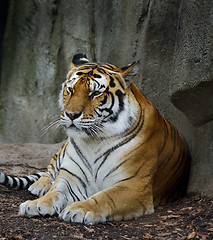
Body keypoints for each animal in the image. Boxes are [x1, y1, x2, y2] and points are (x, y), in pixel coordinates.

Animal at [0, 53, 190, 225]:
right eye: (71, 90)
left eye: (96, 93)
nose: (71, 114)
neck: (94, 140)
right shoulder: (70, 177)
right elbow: (55, 191)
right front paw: (36, 204)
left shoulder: (133, 185)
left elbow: (106, 197)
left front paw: (79, 209)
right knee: (50, 170)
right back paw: (40, 186)